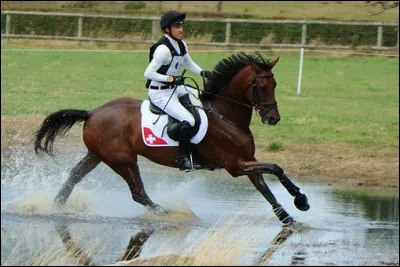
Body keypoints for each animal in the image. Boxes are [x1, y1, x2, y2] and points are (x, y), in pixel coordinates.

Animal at [33, 50, 310, 226]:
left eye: (274, 84)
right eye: (260, 86)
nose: (273, 118)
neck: (226, 116)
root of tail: (92, 113)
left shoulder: (247, 161)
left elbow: (266, 188)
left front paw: (288, 216)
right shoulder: (235, 166)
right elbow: (275, 168)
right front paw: (301, 200)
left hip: (97, 155)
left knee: (73, 177)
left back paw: (54, 207)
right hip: (122, 160)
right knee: (138, 193)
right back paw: (171, 213)